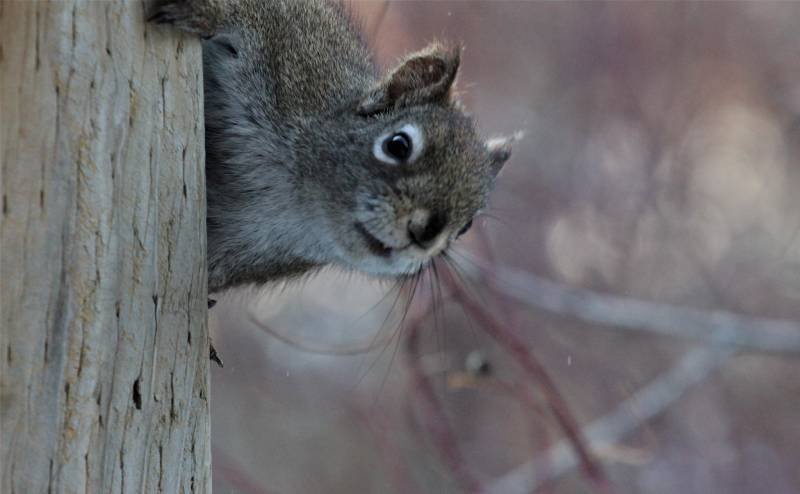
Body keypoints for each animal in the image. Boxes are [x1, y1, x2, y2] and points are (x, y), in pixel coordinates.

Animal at [148, 0, 514, 293]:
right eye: (398, 145)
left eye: (466, 226)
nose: (423, 234)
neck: (296, 196)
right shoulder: (295, 54)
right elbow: (252, 13)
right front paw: (207, 10)